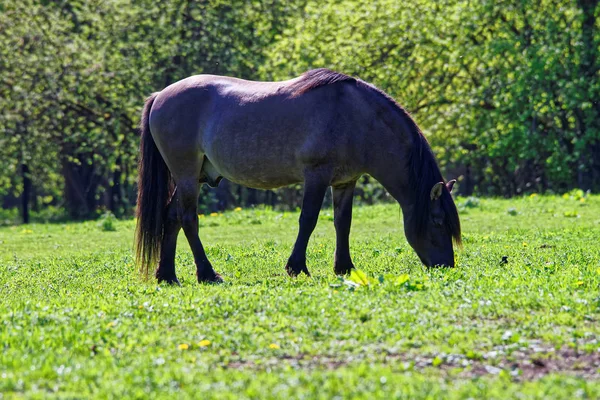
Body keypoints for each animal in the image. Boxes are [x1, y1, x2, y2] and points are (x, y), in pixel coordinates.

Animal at [136, 69, 462, 288]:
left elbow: (343, 223)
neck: (357, 119)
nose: (446, 266)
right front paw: (297, 267)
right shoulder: (316, 176)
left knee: (171, 218)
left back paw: (167, 276)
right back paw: (207, 274)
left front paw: (344, 268)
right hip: (187, 175)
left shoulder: (345, 182)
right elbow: (309, 220)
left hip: (193, 177)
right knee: (188, 219)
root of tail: (160, 95)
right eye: (437, 221)